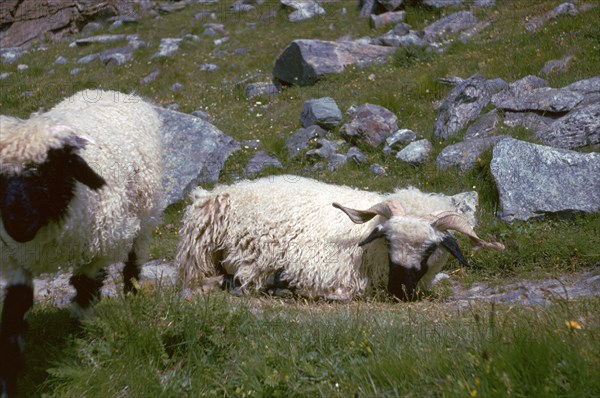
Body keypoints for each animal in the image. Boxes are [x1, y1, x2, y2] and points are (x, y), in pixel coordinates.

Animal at [0, 88, 164, 396]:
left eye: (49, 170)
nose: (17, 224)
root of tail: (109, 91)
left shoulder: (96, 251)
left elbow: (85, 290)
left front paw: (79, 340)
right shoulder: (16, 259)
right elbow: (14, 314)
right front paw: (8, 379)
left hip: (145, 209)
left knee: (135, 255)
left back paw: (132, 293)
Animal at [176, 175, 504, 302]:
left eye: (430, 248)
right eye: (387, 241)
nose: (399, 289)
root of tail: (218, 191)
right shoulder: (319, 271)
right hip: (200, 255)